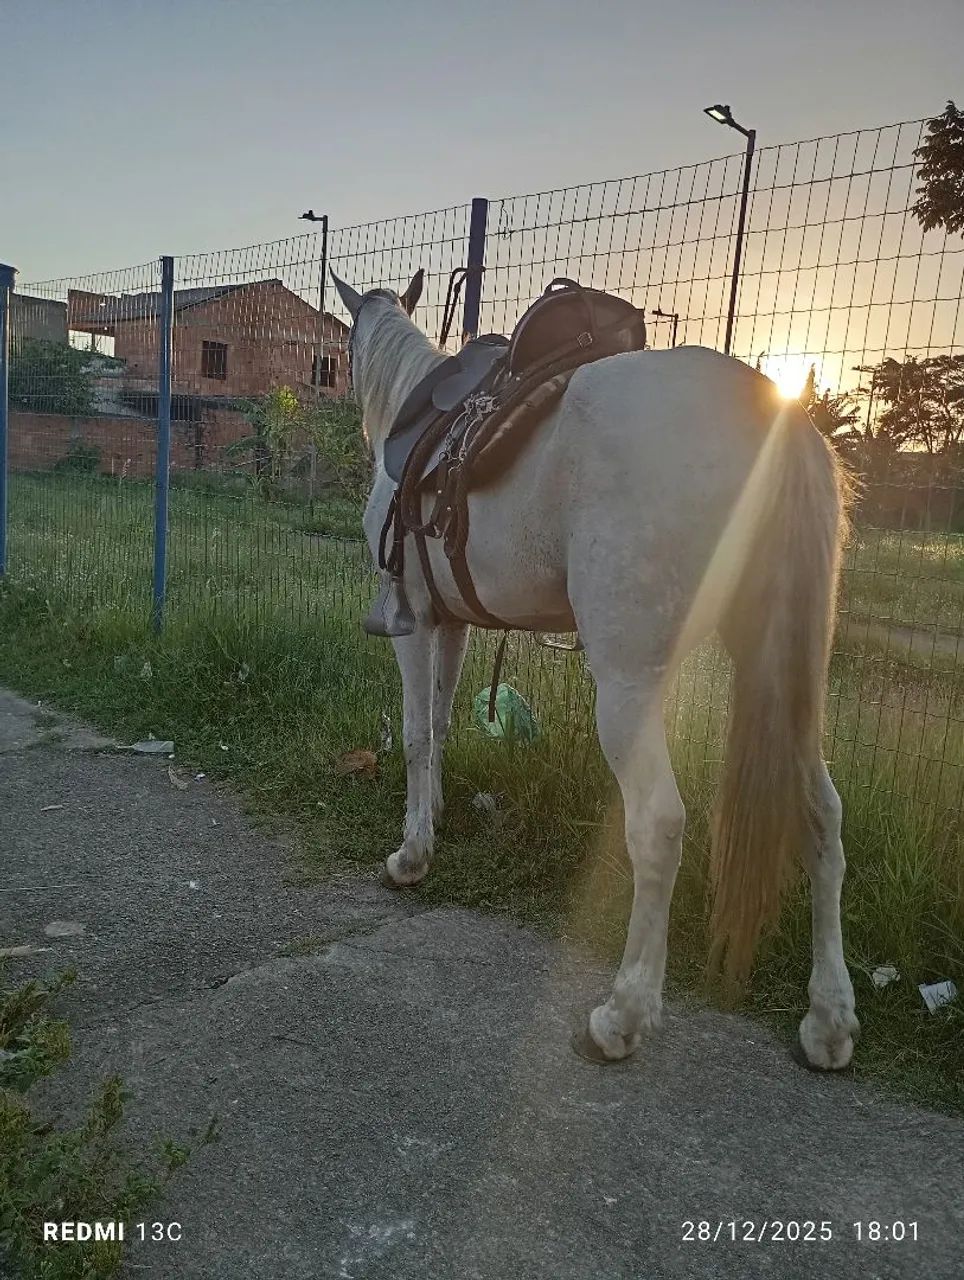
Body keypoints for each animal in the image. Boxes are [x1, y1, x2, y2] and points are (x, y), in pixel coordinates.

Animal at [331, 268, 859, 1071]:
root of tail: (777, 416)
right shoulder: (453, 625)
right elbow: (443, 725)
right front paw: (435, 816)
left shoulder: (414, 624)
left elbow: (419, 733)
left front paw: (412, 855)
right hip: (784, 678)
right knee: (822, 815)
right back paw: (828, 1018)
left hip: (629, 687)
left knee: (660, 824)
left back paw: (624, 1013)